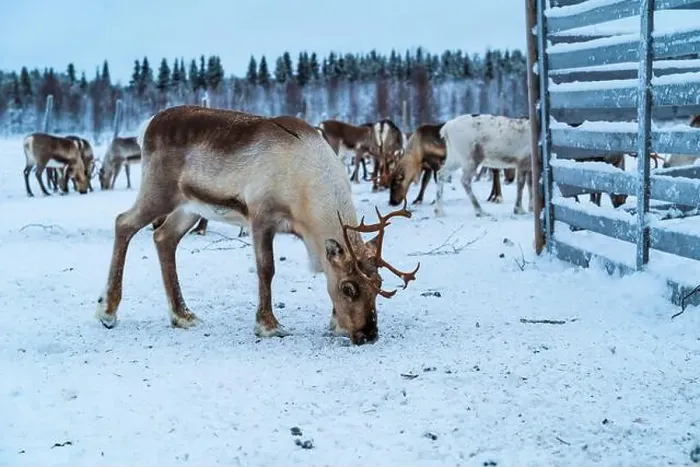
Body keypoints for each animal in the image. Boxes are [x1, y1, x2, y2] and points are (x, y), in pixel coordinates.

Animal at [95, 105, 419, 346]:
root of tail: (148, 124)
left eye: (379, 285)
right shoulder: (262, 217)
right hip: (158, 193)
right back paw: (107, 312)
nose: (368, 335)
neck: (305, 187)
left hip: (189, 207)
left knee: (164, 237)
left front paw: (334, 321)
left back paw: (182, 315)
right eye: (348, 288)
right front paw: (268, 325)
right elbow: (267, 269)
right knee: (123, 223)